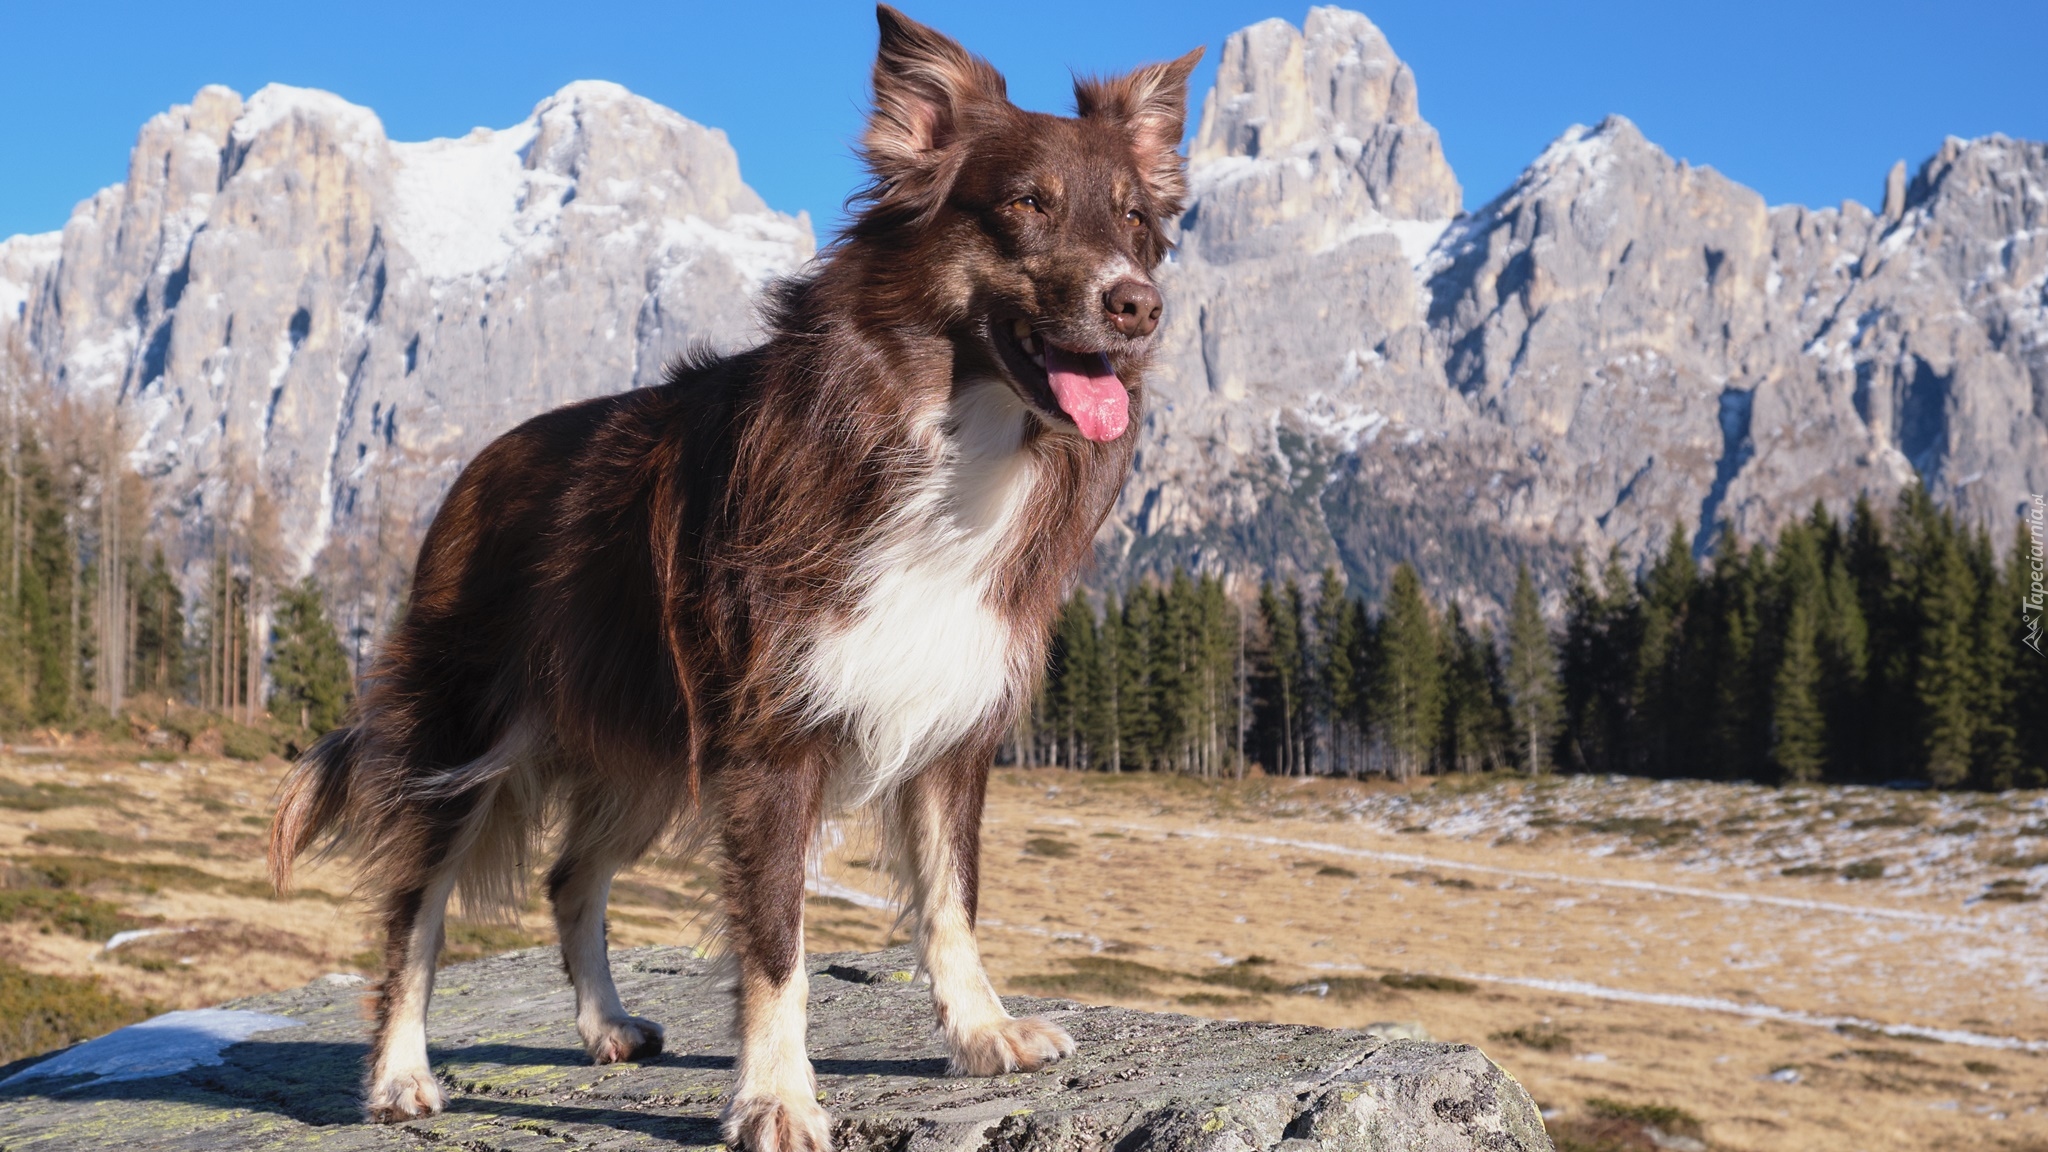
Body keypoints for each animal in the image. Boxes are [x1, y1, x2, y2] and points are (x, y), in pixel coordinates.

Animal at [270, 11, 1196, 1147]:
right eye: (1026, 204)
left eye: (1137, 220)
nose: (1139, 305)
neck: (935, 437)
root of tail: (472, 472)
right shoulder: (767, 745)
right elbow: (774, 943)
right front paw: (775, 1096)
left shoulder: (949, 724)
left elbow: (952, 898)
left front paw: (981, 1033)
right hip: (463, 739)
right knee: (416, 913)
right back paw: (399, 1077)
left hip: (644, 752)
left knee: (570, 874)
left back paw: (607, 1026)